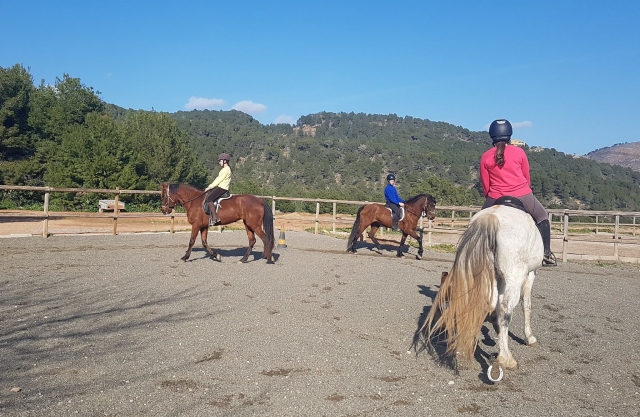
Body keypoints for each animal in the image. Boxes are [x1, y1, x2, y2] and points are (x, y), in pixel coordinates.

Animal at [420, 204, 543, 382]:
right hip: (514, 276)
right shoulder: (530, 274)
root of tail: (490, 217)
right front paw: (529, 337)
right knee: (505, 310)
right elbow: (526, 305)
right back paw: (506, 359)